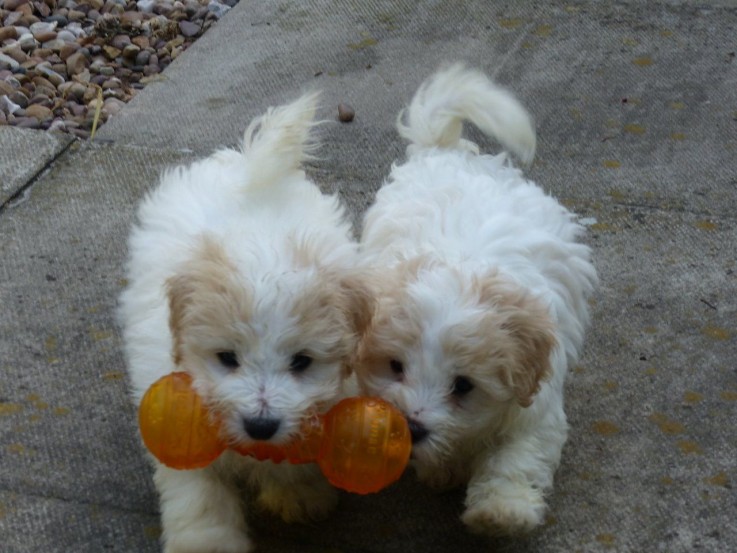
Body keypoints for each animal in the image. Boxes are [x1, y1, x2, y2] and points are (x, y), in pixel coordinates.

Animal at [121, 92, 374, 548]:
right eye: (226, 358)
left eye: (302, 361)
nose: (260, 425)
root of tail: (249, 170)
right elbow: (197, 491)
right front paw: (207, 542)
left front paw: (297, 494)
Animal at [352, 64, 600, 536]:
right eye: (394, 366)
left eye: (463, 385)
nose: (413, 427)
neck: (462, 266)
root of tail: (445, 151)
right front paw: (442, 469)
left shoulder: (534, 406)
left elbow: (516, 456)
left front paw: (500, 511)